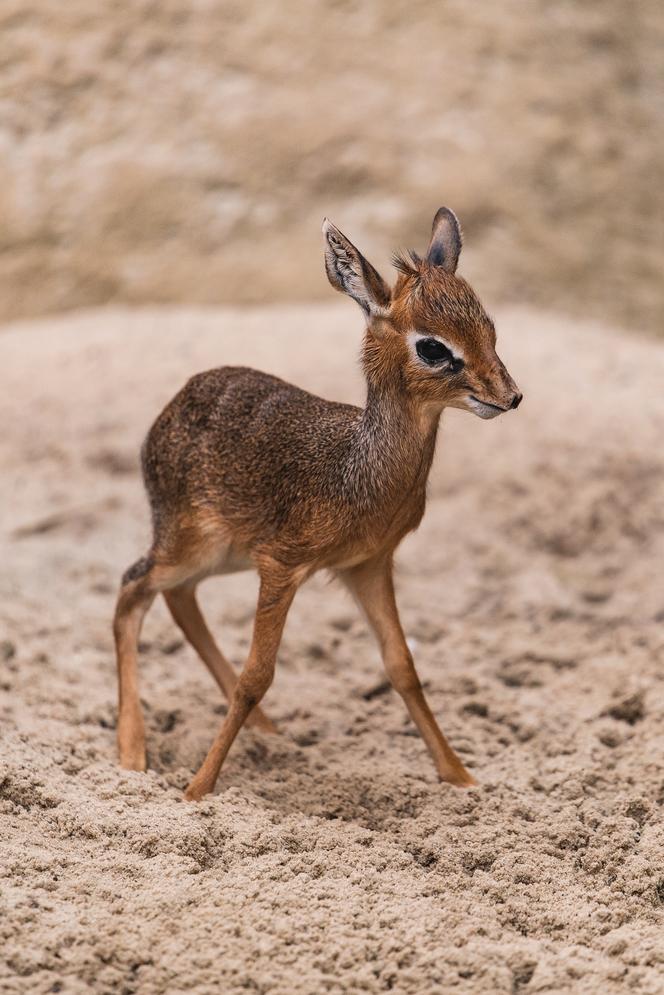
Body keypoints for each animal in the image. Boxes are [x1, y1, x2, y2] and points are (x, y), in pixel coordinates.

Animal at [114, 208, 520, 800]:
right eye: (433, 346)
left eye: (488, 325)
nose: (509, 395)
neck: (357, 473)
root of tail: (172, 406)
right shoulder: (282, 565)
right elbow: (256, 676)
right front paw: (196, 791)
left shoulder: (368, 565)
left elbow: (402, 666)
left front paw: (461, 776)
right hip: (190, 545)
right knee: (131, 590)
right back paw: (132, 754)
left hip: (219, 557)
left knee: (177, 598)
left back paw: (266, 731)